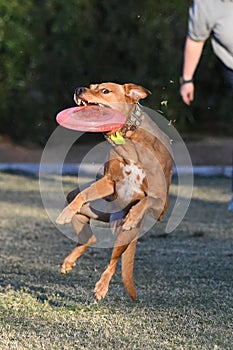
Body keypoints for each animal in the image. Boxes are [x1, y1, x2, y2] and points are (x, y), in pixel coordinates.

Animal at [56, 82, 173, 300]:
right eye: (91, 86)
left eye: (104, 90)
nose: (79, 89)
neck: (128, 138)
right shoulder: (109, 182)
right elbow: (83, 194)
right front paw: (65, 214)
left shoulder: (161, 205)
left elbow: (147, 199)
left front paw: (134, 215)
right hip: (94, 209)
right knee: (89, 237)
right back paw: (69, 262)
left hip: (124, 235)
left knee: (113, 261)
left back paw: (102, 287)